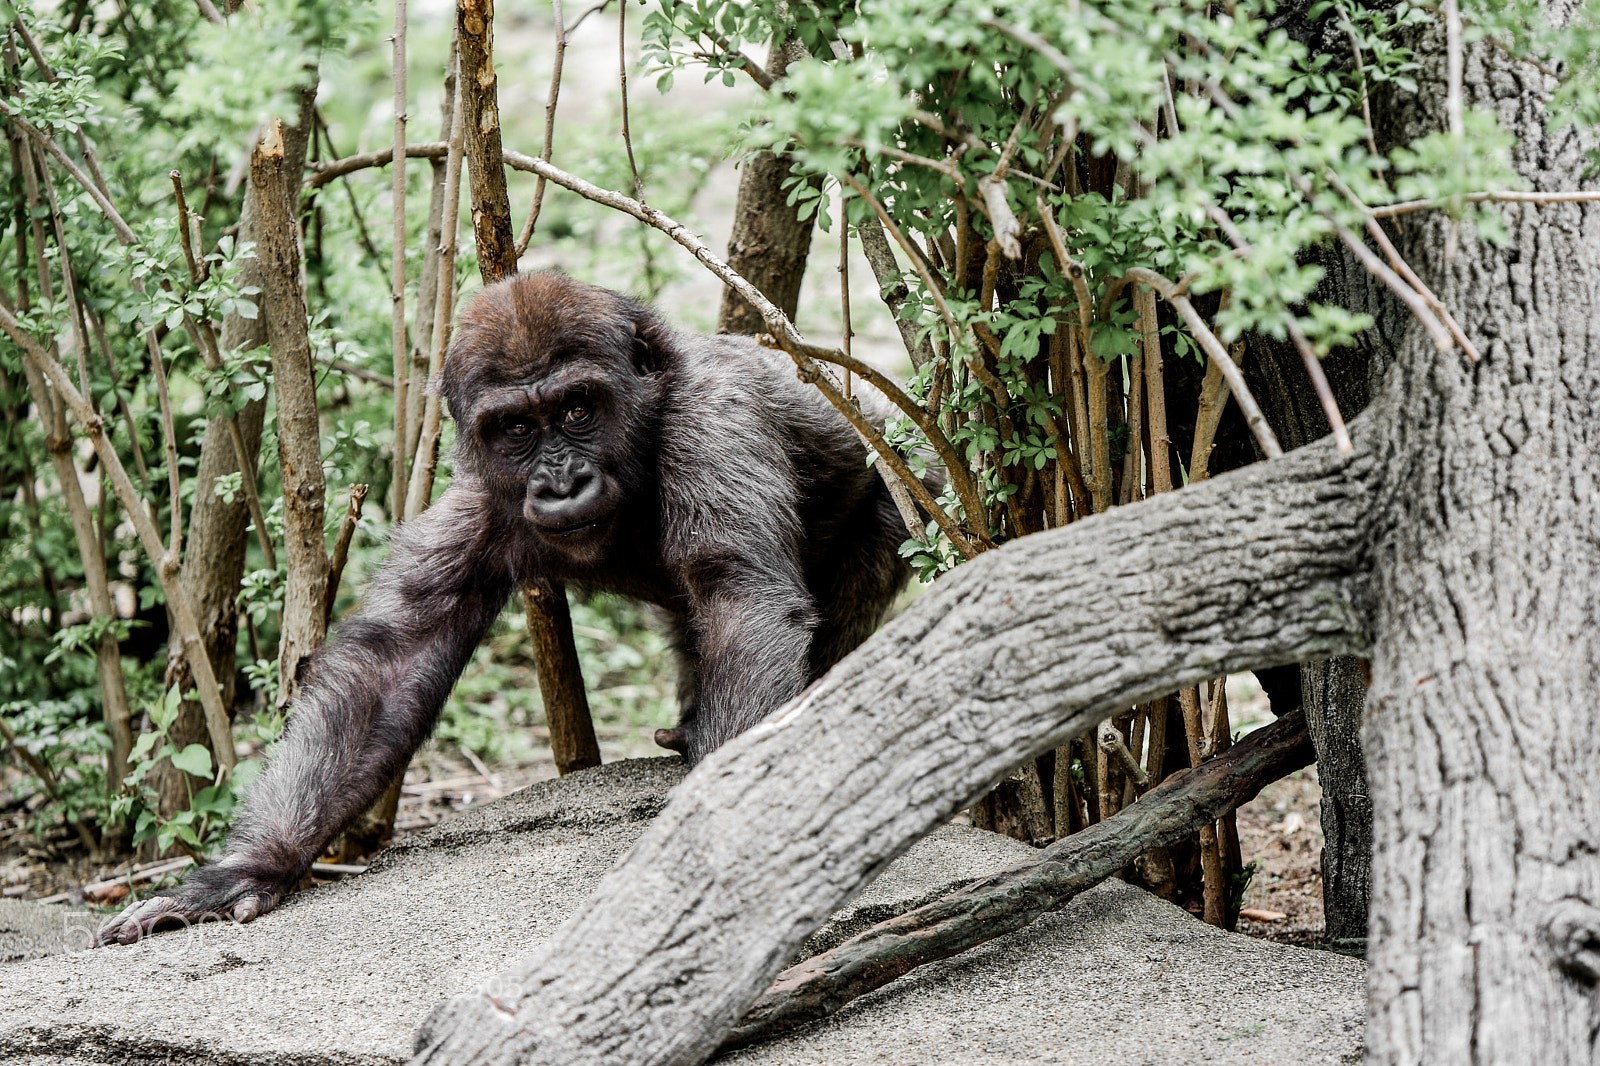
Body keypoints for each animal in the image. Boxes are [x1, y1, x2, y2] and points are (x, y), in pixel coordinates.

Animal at [96, 270, 923, 944]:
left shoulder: (717, 423)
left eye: (579, 408)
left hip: (901, 495)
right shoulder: (473, 506)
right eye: (518, 429)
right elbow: (389, 669)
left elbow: (739, 600)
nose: (560, 481)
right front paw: (246, 869)